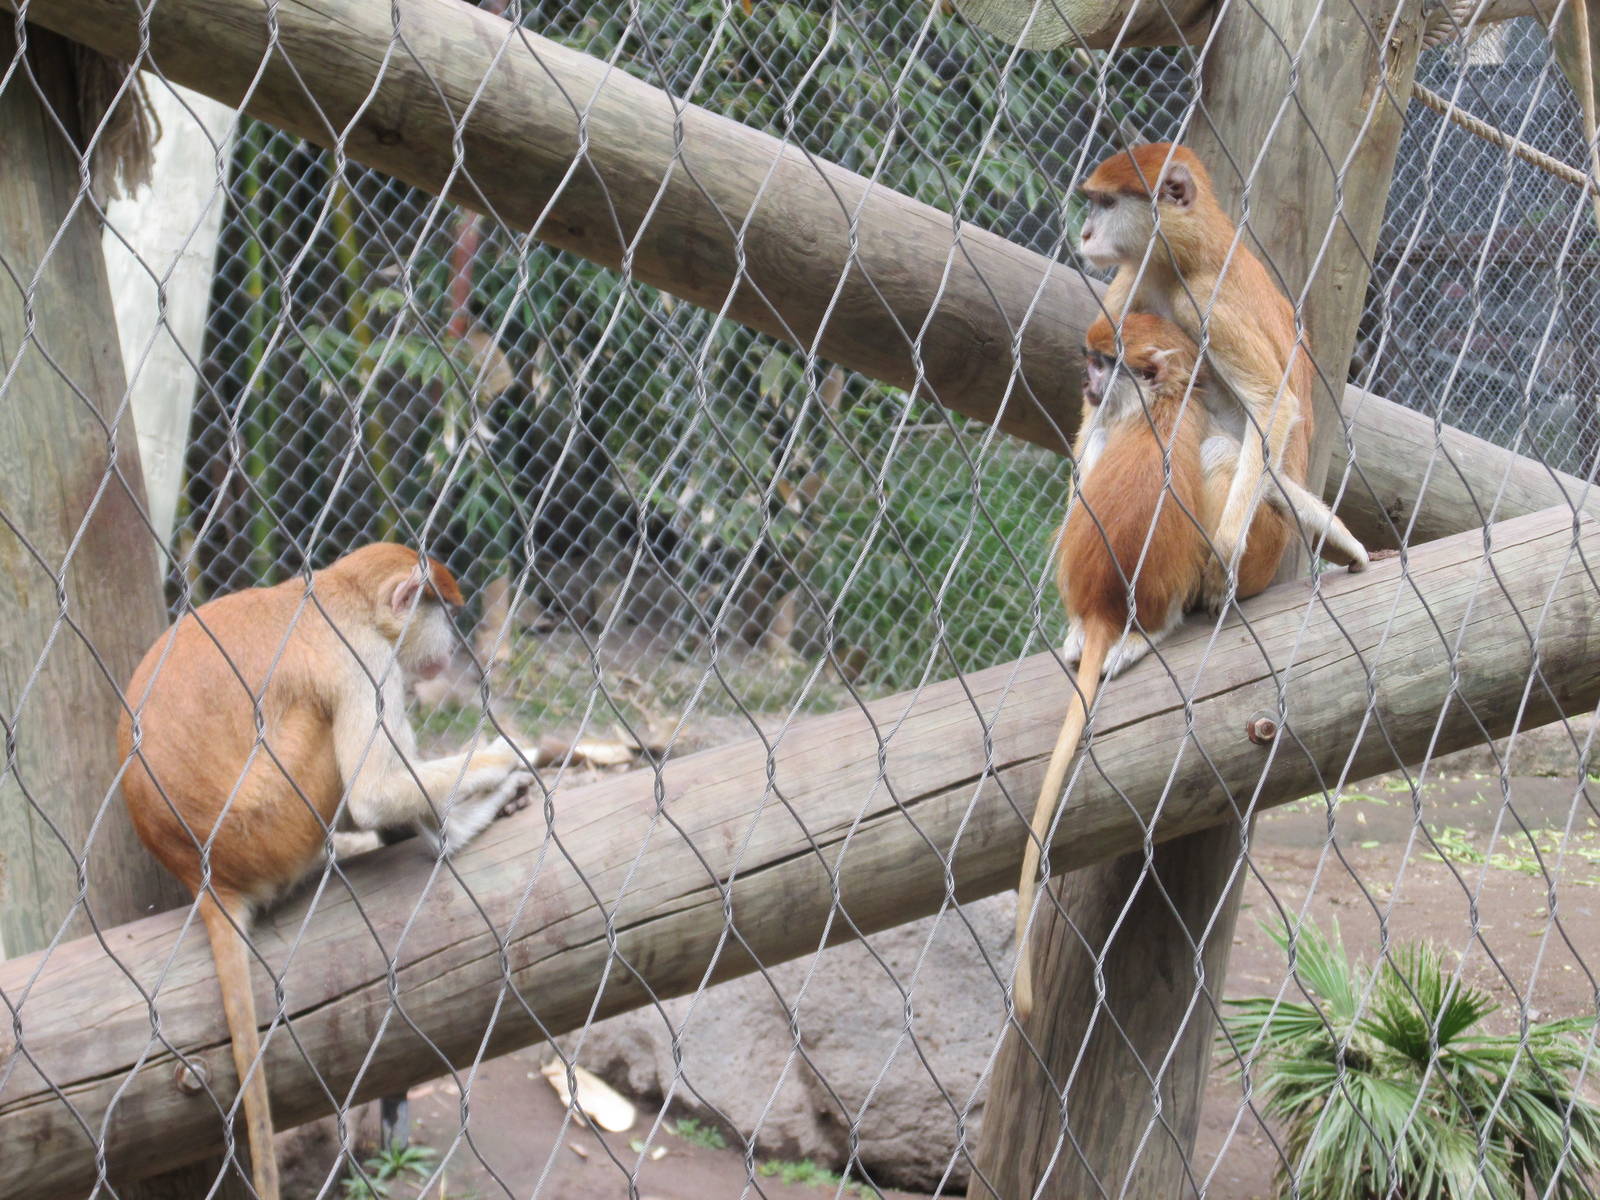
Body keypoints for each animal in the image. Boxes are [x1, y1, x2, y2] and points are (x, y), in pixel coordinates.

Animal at [117, 543, 537, 1200]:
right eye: (444, 612)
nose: (454, 649)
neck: (338, 595)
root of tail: (203, 876)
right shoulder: (364, 663)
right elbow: (375, 793)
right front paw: (505, 760)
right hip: (276, 817)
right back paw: (453, 830)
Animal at [1077, 142, 1370, 607]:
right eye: (1094, 202)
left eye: (1107, 204)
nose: (1086, 234)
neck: (1186, 256)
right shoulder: (1132, 279)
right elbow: (1097, 413)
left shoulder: (1202, 299)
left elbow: (1272, 405)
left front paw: (1227, 551)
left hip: (1267, 542)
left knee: (1221, 451)